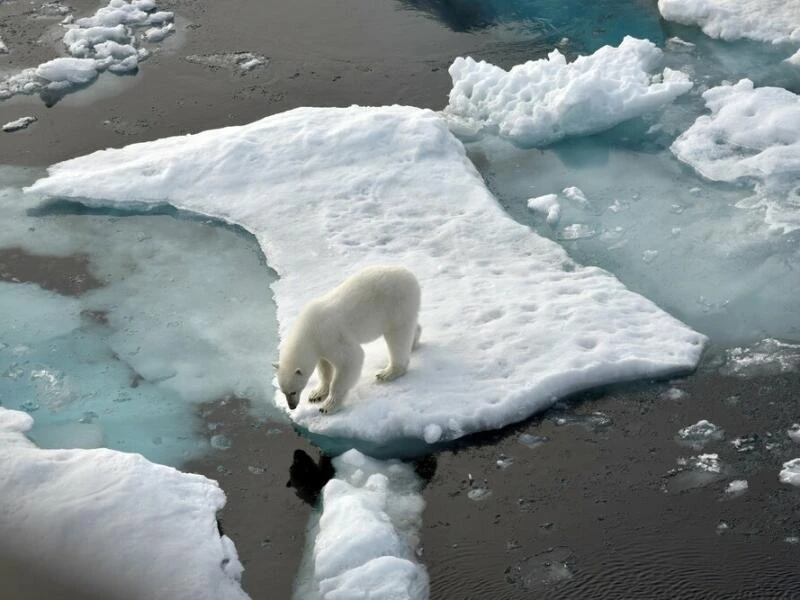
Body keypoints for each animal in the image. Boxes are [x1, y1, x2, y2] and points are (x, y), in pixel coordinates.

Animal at [276, 266, 422, 412]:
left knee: (398, 336)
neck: (308, 329)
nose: (292, 406)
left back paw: (388, 373)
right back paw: (413, 342)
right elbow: (324, 367)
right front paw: (316, 394)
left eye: (293, 391)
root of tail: (409, 275)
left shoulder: (330, 335)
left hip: (397, 304)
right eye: (283, 392)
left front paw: (328, 405)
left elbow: (350, 359)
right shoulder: (320, 345)